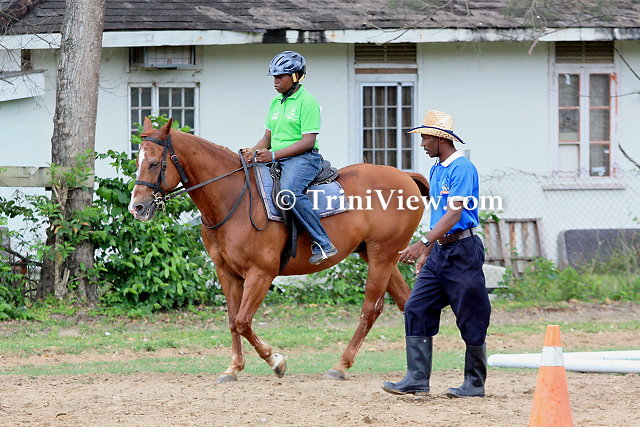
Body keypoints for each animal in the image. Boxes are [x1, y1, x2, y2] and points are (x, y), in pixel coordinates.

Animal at [129, 117, 430, 383]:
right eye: (137, 162)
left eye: (154, 163)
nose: (137, 207)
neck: (233, 198)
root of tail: (405, 176)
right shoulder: (227, 273)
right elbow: (233, 321)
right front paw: (234, 368)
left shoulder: (261, 273)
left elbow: (243, 321)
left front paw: (276, 361)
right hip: (379, 257)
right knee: (405, 302)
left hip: (382, 256)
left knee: (370, 309)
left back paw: (341, 366)